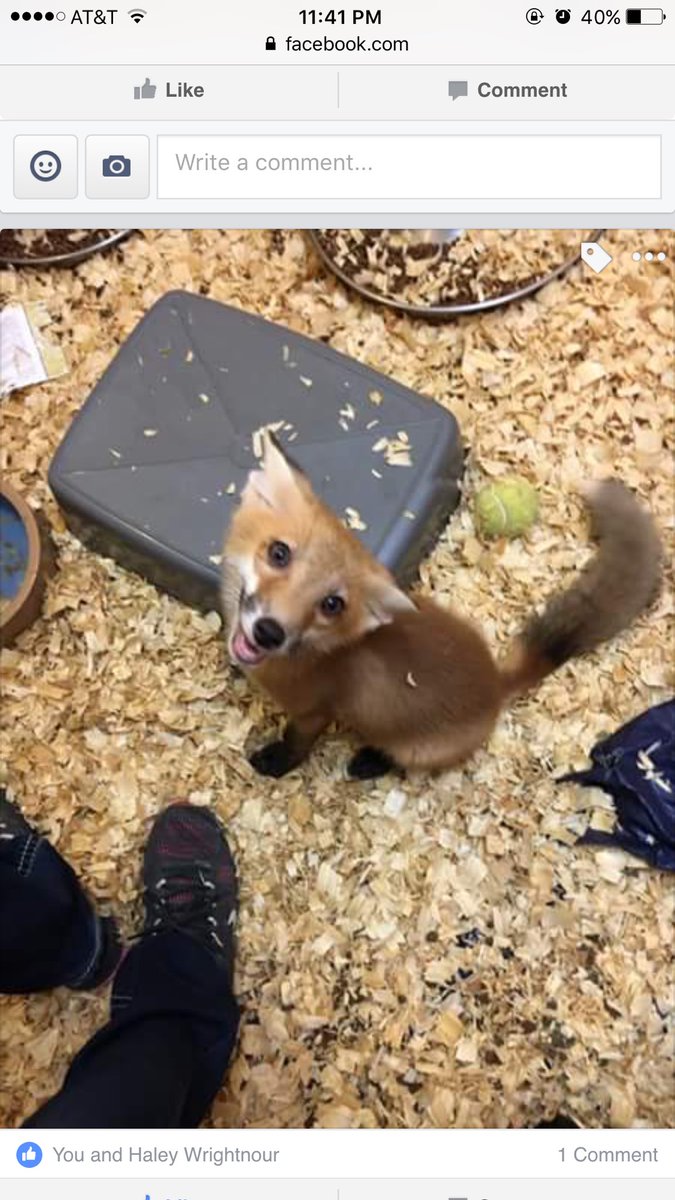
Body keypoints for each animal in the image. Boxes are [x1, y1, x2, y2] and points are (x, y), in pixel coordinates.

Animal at [221, 432, 662, 780]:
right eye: (279, 553)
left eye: (332, 604)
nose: (268, 631)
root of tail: (495, 683)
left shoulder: (314, 712)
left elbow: (296, 745)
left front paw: (276, 764)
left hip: (414, 748)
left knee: (402, 760)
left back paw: (370, 762)